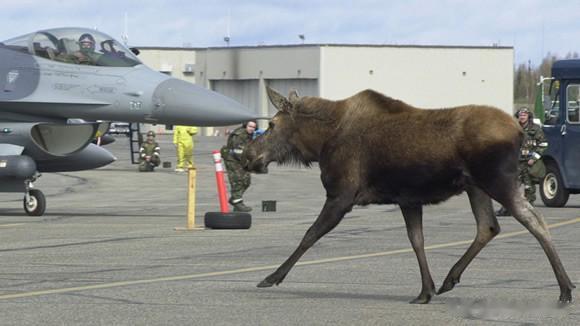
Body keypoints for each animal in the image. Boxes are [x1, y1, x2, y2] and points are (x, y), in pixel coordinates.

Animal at [241, 86, 576, 304]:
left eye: (272, 125)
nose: (248, 156)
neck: (319, 142)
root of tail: (519, 131)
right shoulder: (408, 199)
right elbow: (417, 240)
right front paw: (426, 290)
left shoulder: (341, 195)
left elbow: (309, 235)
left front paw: (272, 277)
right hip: (475, 186)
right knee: (488, 226)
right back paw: (450, 279)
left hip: (497, 180)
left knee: (534, 219)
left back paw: (565, 288)